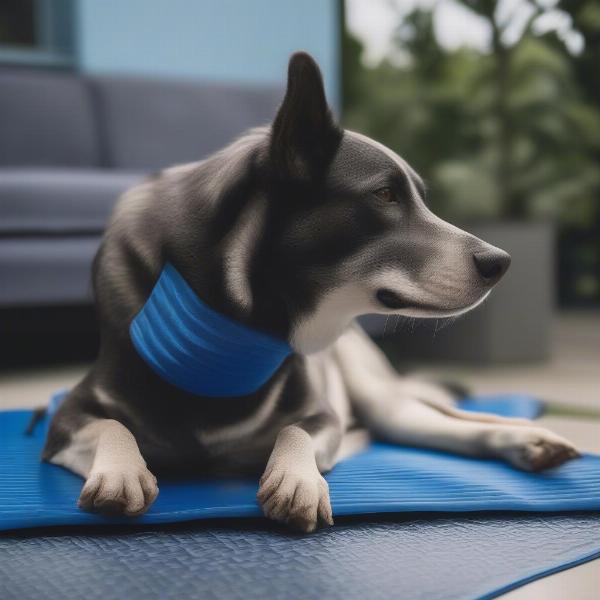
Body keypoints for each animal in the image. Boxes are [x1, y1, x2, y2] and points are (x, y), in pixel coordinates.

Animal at [41, 50, 576, 528]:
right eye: (385, 195)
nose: (501, 262)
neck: (226, 333)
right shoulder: (64, 420)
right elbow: (111, 424)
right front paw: (121, 469)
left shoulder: (323, 414)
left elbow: (295, 427)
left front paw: (297, 479)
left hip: (380, 399)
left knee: (451, 418)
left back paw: (531, 438)